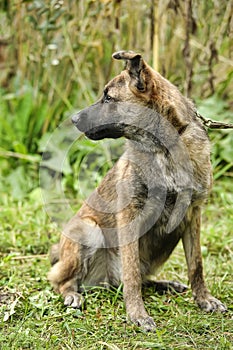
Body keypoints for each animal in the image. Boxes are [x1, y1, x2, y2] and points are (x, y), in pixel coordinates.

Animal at [48, 50, 227, 330]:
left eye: (109, 98)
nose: (74, 119)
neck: (164, 148)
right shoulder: (129, 216)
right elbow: (131, 273)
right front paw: (137, 314)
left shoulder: (192, 215)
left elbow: (196, 265)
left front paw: (204, 300)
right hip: (88, 229)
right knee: (61, 279)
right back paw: (72, 295)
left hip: (168, 237)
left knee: (138, 278)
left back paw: (165, 284)